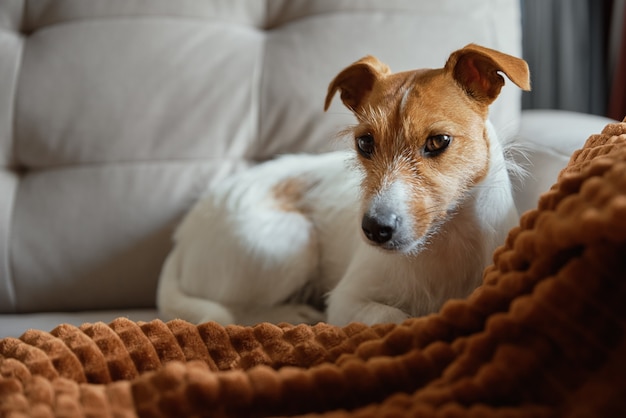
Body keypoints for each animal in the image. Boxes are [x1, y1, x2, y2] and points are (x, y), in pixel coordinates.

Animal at [158, 45, 528, 326]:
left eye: (439, 141)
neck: (445, 240)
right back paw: (294, 312)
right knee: (233, 311)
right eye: (365, 143)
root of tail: (181, 239)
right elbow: (394, 316)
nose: (374, 229)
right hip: (290, 241)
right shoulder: (347, 300)